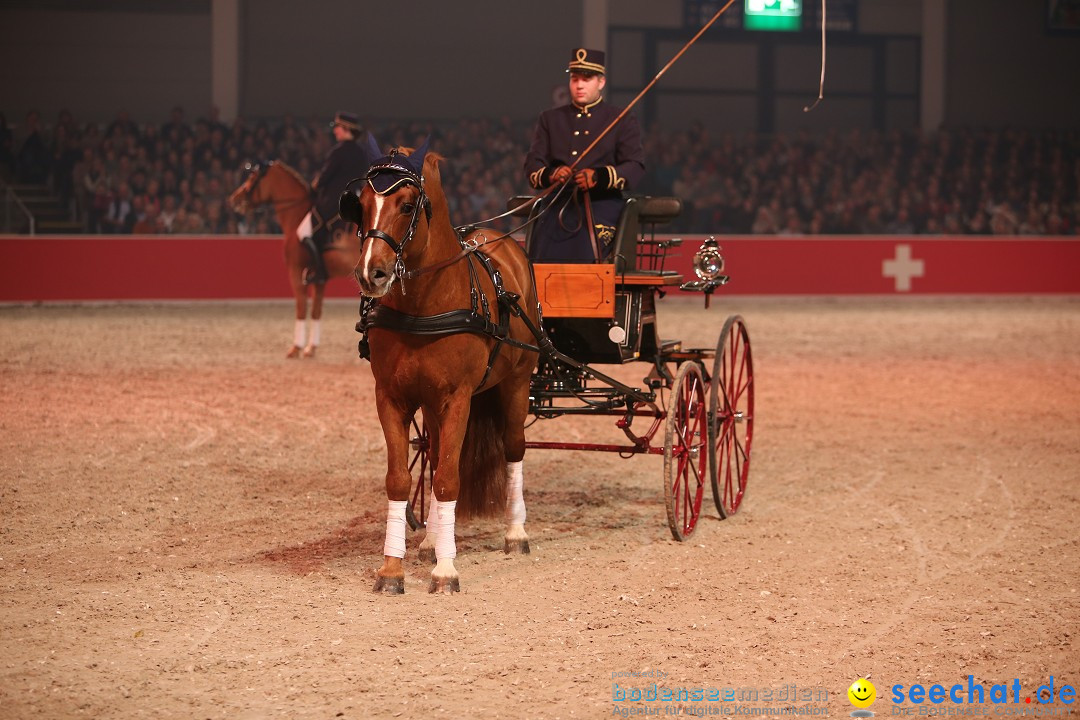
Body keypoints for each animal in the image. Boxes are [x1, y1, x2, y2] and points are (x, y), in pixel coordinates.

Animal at [227, 160, 362, 358]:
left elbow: (301, 307)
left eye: (253, 177)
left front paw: (296, 348)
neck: (297, 214)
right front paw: (311, 348)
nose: (234, 199)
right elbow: (316, 310)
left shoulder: (296, 271)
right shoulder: (319, 278)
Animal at [349, 138, 540, 595]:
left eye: (406, 204)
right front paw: (392, 569)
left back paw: (515, 533)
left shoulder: (458, 400)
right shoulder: (393, 398)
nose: (370, 273)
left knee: (513, 449)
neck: (423, 307)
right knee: (435, 458)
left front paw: (446, 571)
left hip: (516, 382)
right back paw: (432, 542)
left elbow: (449, 479)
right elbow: (402, 479)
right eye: (360, 204)